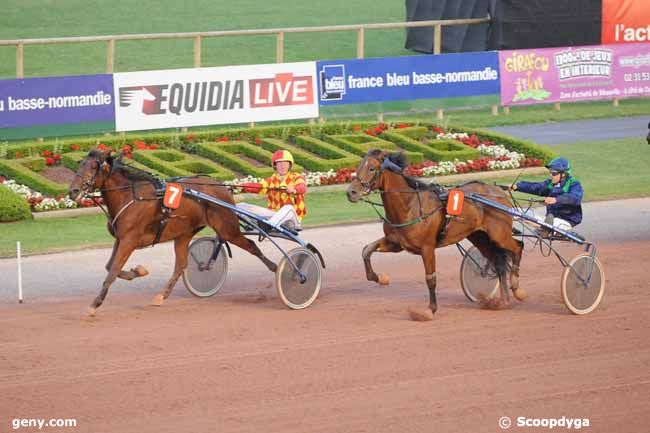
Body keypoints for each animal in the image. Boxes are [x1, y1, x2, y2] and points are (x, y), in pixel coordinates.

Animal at [69, 150, 278, 316]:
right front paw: (138, 271)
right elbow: (109, 267)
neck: (130, 196)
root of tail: (223, 187)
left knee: (252, 246)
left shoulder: (129, 240)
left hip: (227, 229)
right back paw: (161, 296)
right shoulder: (121, 239)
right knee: (181, 264)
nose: (73, 191)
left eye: (94, 166)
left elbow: (112, 271)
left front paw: (95, 304)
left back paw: (277, 269)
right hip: (184, 234)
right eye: (80, 164)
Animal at [346, 150, 524, 318]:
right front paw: (379, 278)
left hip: (499, 235)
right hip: (479, 237)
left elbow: (430, 279)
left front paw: (430, 310)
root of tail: (498, 192)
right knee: (498, 261)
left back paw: (516, 288)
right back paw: (503, 301)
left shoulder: (427, 248)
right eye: (358, 167)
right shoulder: (396, 243)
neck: (409, 206)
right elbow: (367, 250)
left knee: (518, 246)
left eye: (371, 168)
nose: (351, 192)